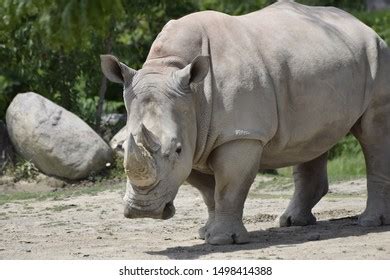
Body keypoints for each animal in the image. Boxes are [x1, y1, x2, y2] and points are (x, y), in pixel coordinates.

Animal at [100, 1, 390, 244]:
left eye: (177, 149)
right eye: (122, 148)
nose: (142, 211)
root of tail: (362, 24)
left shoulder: (239, 135)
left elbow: (228, 187)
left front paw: (223, 240)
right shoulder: (196, 138)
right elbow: (209, 193)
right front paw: (206, 233)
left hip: (376, 55)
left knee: (373, 133)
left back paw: (369, 223)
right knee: (312, 138)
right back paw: (293, 223)